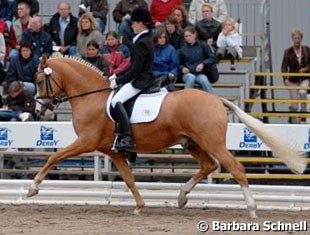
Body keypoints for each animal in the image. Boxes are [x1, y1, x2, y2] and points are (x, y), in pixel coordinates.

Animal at [30, 55, 306, 218]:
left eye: (39, 80)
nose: (39, 110)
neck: (91, 97)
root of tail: (216, 99)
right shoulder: (112, 150)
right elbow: (129, 179)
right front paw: (140, 206)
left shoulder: (86, 142)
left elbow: (54, 156)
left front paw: (33, 188)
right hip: (191, 142)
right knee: (209, 165)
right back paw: (182, 196)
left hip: (212, 142)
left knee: (235, 168)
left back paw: (252, 209)